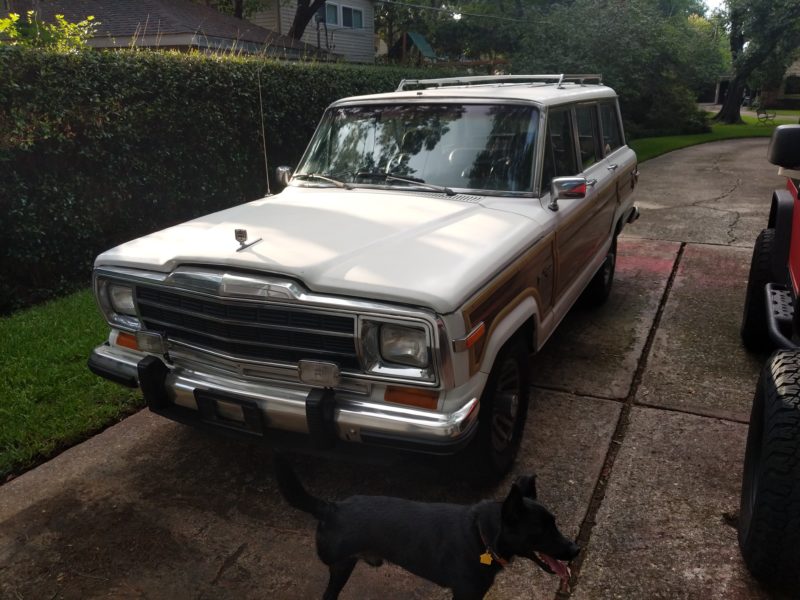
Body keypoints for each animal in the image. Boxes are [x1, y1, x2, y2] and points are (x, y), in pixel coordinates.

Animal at [272, 458, 580, 596]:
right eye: (541, 530)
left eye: (555, 523)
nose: (576, 549)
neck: (482, 536)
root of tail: (331, 507)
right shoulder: (465, 595)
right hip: (340, 565)